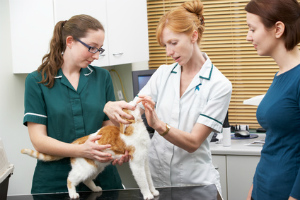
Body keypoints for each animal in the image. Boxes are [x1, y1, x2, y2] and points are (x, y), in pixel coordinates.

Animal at [21, 104, 159, 199]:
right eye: (130, 106)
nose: (137, 103)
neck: (137, 129)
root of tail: (76, 142)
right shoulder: (136, 164)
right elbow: (143, 181)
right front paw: (147, 194)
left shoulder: (144, 162)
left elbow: (149, 179)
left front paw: (153, 191)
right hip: (85, 169)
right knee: (70, 178)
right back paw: (72, 193)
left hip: (96, 167)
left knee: (86, 180)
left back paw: (95, 189)